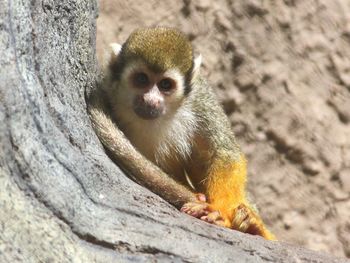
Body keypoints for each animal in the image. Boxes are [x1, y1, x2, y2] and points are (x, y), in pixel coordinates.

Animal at [87, 27, 276, 241]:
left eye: (165, 85)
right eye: (141, 79)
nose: (150, 100)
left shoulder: (200, 99)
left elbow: (225, 153)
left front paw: (219, 212)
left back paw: (255, 227)